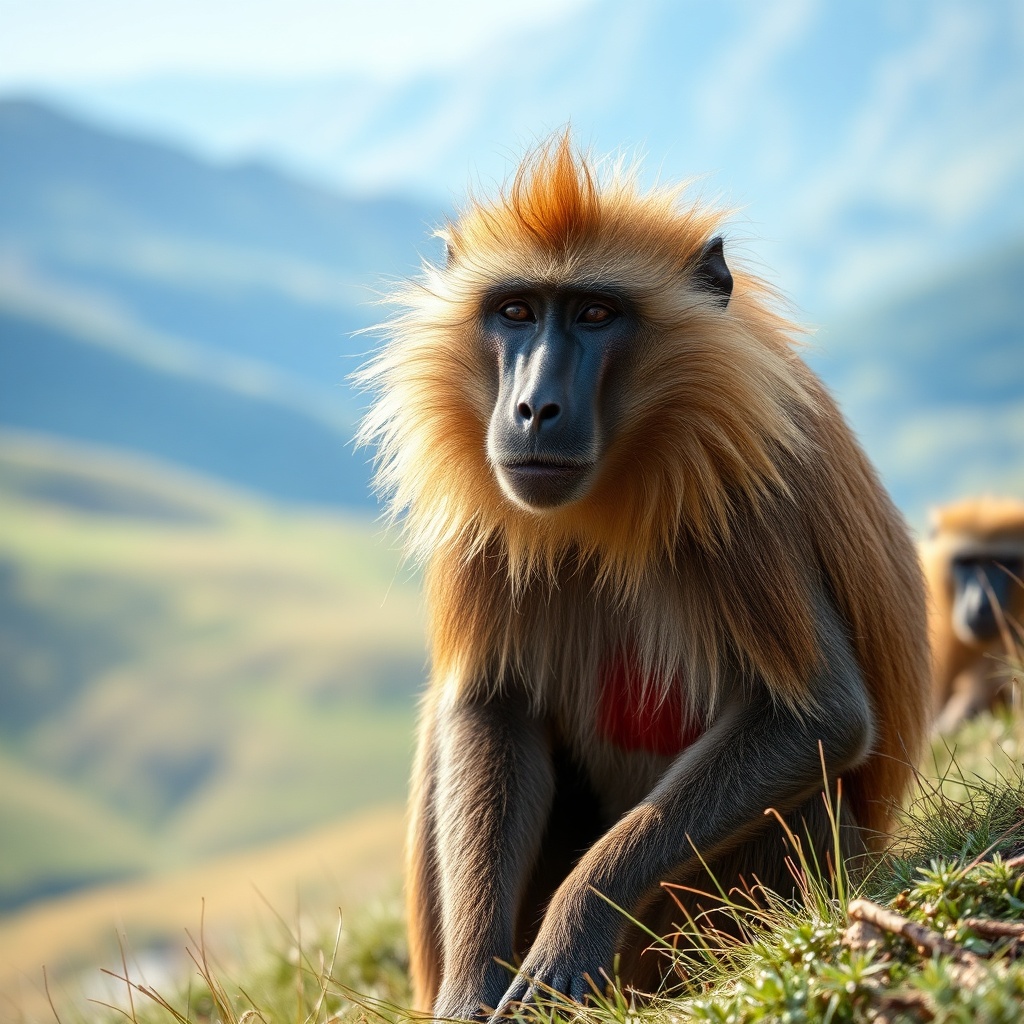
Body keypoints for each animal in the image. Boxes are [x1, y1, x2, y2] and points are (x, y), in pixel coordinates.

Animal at [357, 134, 931, 1020]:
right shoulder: (494, 503)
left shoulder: (739, 483)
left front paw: (571, 928)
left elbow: (815, 720)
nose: (534, 409)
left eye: (595, 314)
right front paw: (472, 979)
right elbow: (492, 706)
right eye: (517, 312)